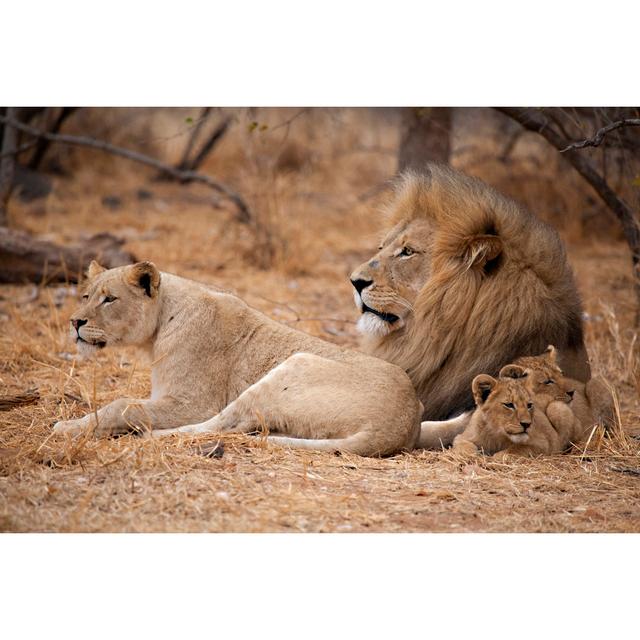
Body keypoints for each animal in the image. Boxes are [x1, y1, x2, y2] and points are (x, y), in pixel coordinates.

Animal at [52, 260, 422, 456]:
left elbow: (122, 405)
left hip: (294, 365)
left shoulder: (192, 402)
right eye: (85, 296)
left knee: (222, 425)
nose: (74, 322)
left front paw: (68, 427)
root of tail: (402, 426)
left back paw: (149, 437)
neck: (160, 324)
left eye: (109, 299)